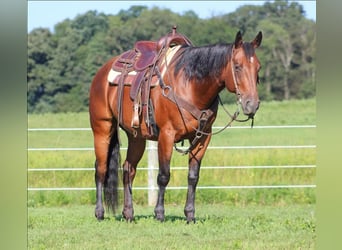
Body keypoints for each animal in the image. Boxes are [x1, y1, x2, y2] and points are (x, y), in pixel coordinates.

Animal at [88, 29, 262, 223]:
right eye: (237, 66)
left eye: (258, 68)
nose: (252, 104)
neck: (189, 85)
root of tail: (102, 72)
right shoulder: (166, 135)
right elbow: (164, 176)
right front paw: (159, 213)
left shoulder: (203, 137)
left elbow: (193, 176)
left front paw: (190, 214)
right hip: (102, 129)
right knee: (101, 169)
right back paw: (99, 212)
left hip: (136, 137)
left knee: (128, 169)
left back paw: (128, 214)